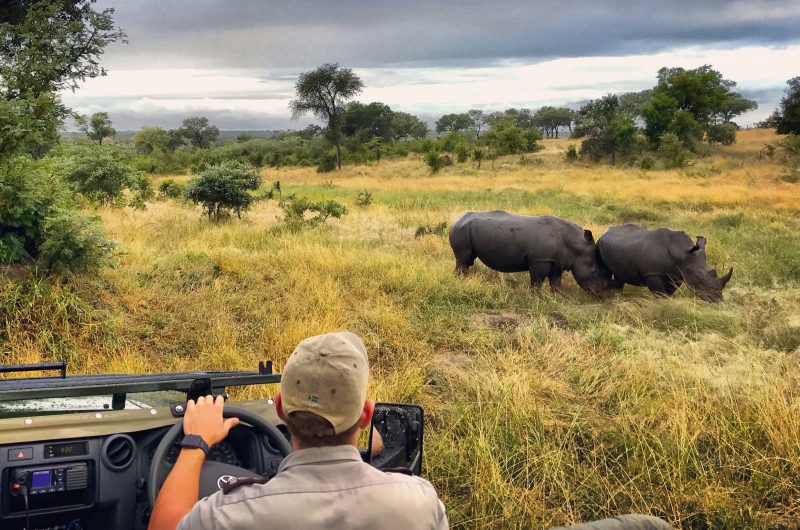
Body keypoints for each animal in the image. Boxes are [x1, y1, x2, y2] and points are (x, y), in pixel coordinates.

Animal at [448, 211, 612, 295]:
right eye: (595, 270)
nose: (599, 293)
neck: (575, 245)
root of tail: (456, 220)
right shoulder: (540, 259)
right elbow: (537, 280)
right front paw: (535, 296)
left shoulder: (556, 261)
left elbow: (556, 281)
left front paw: (557, 296)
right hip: (461, 229)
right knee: (463, 259)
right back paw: (460, 281)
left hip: (465, 228)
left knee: (467, 260)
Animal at [597, 224, 732, 302]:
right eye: (699, 278)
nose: (717, 300)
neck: (682, 254)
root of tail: (606, 231)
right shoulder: (652, 273)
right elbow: (660, 293)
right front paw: (662, 305)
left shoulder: (677, 274)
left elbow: (669, 291)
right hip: (599, 245)